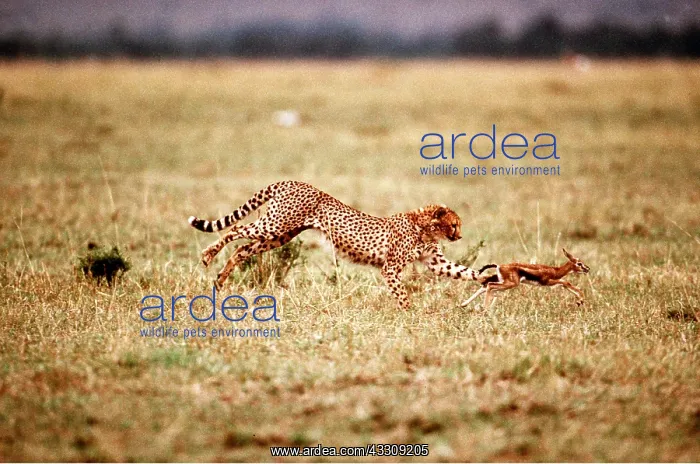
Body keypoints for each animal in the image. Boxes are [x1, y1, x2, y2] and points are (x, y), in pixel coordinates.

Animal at [187, 180, 479, 309]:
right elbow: (402, 294)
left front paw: (487, 276)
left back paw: (220, 280)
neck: (424, 227)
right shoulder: (390, 268)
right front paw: (409, 314)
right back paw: (207, 255)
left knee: (242, 249)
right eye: (454, 225)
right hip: (275, 225)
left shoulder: (434, 262)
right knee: (235, 229)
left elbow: (462, 271)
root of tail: (292, 181)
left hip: (280, 235)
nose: (459, 236)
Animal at [460, 248, 590, 308]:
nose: (587, 269)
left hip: (503, 282)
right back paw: (485, 308)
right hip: (510, 284)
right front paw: (580, 300)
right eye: (579, 263)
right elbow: (565, 282)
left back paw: (463, 304)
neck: (555, 270)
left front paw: (580, 301)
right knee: (489, 285)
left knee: (485, 286)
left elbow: (565, 283)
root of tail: (498, 266)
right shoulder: (547, 281)